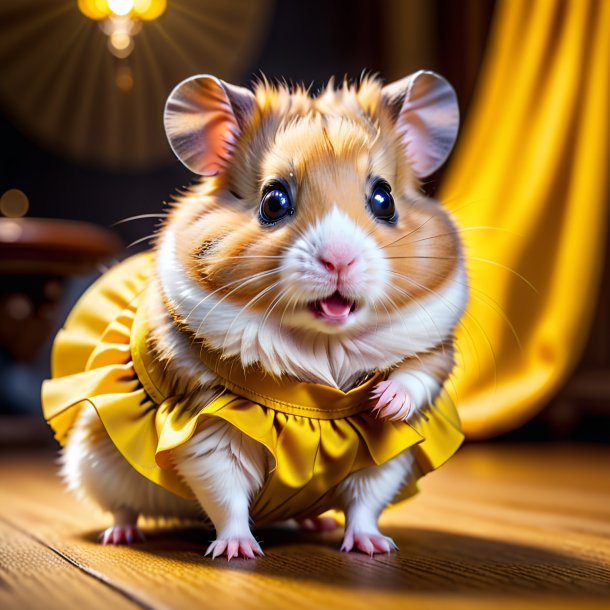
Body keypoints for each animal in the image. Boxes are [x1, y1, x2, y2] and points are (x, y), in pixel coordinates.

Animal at [45, 70, 466, 556]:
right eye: (273, 202)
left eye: (385, 200)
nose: (339, 260)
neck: (325, 344)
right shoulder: (211, 436)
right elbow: (226, 498)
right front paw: (236, 552)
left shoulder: (392, 444)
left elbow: (373, 486)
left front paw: (374, 542)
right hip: (94, 462)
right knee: (122, 507)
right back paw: (120, 535)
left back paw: (318, 522)